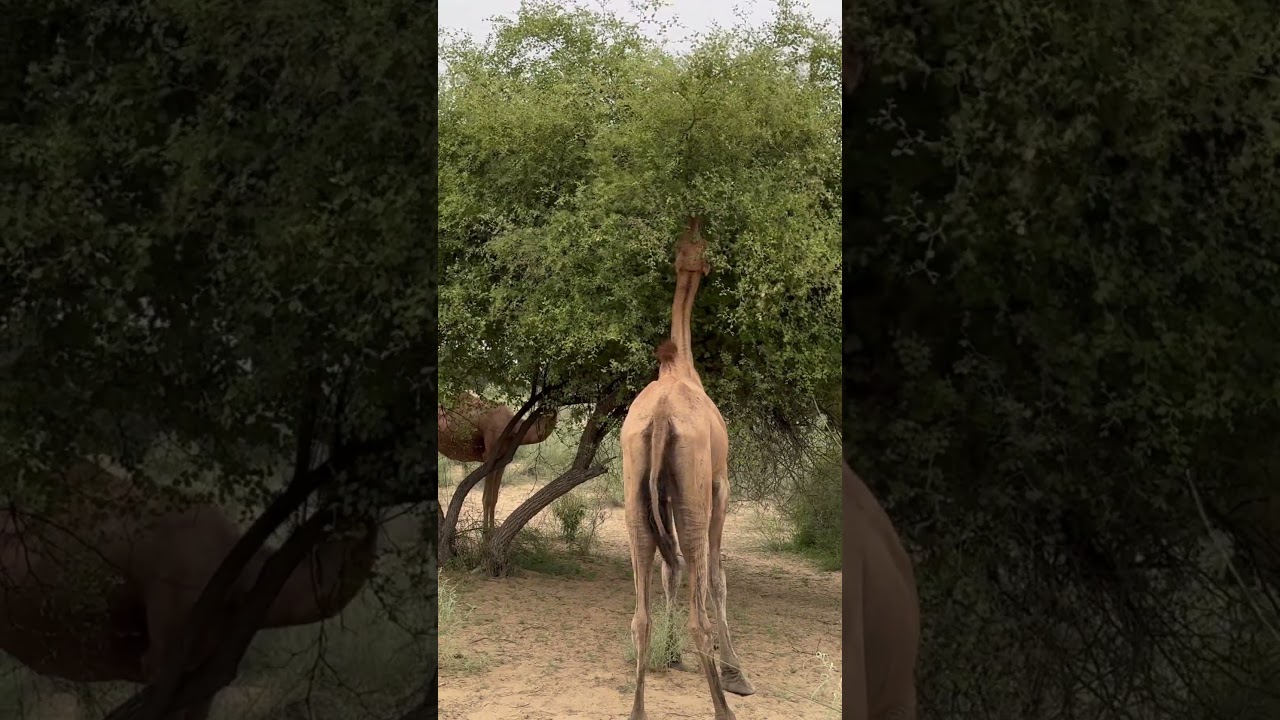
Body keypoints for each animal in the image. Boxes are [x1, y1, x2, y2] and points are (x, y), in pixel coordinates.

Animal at [437, 391, 559, 536]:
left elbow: (494, 498)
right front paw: (485, 536)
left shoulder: (502, 462)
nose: (552, 409)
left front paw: (492, 533)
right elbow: (487, 499)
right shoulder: (489, 457)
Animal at [619, 216, 753, 720]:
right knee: (700, 604)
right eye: (702, 244)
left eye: (687, 243)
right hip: (695, 495)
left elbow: (668, 569)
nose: (708, 260)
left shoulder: (664, 492)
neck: (682, 367)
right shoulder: (720, 484)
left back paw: (638, 710)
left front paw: (672, 655)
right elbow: (717, 578)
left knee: (640, 612)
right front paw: (737, 674)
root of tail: (660, 418)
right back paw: (723, 708)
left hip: (635, 495)